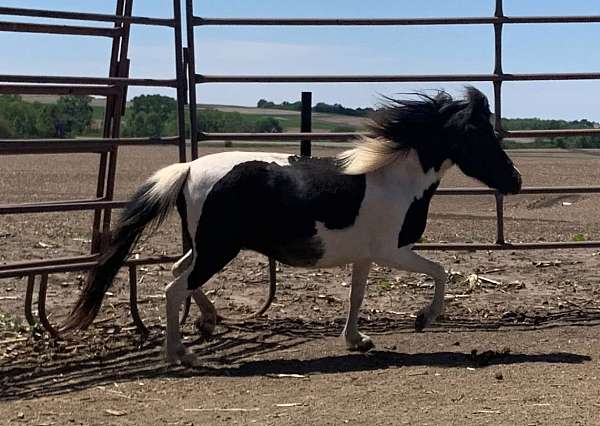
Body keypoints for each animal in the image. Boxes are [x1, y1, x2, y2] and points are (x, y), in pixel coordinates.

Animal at [62, 87, 520, 366]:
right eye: (478, 132)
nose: (515, 181)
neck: (393, 178)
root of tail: (188, 168)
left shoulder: (366, 255)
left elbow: (356, 297)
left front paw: (357, 340)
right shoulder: (394, 251)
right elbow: (440, 272)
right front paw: (424, 319)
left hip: (204, 245)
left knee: (179, 274)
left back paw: (207, 323)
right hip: (218, 249)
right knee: (175, 288)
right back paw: (182, 355)